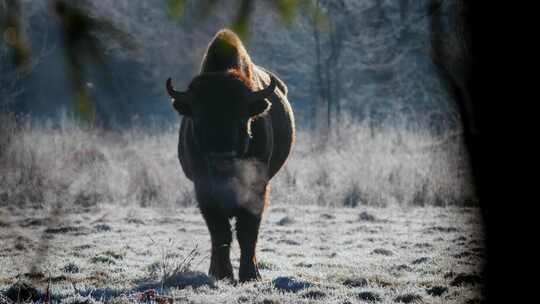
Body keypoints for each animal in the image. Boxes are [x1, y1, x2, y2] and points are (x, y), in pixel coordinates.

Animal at [166, 29, 296, 282]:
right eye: (199, 116)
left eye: (242, 116)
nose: (222, 157)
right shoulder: (204, 189)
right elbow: (220, 232)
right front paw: (223, 274)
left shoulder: (257, 188)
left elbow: (247, 231)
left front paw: (250, 274)